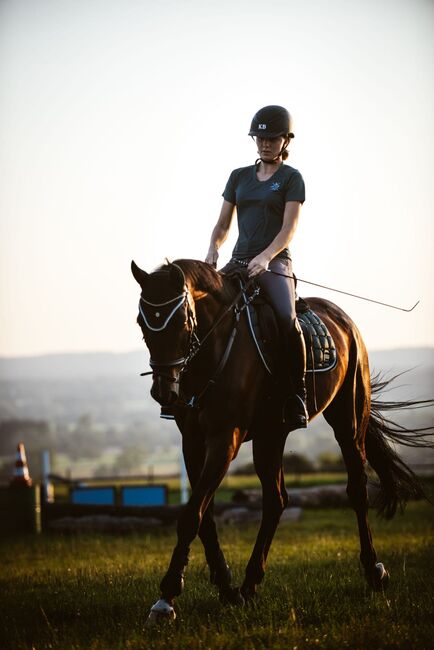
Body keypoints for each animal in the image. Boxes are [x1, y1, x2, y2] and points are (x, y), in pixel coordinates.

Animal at [131, 256, 428, 624]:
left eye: (182, 321)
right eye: (142, 322)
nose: (164, 392)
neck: (215, 349)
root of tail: (342, 318)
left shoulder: (225, 439)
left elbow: (191, 515)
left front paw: (166, 599)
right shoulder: (194, 442)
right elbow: (204, 514)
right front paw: (226, 589)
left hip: (348, 420)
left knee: (357, 490)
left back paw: (375, 572)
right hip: (271, 435)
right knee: (276, 500)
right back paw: (249, 584)